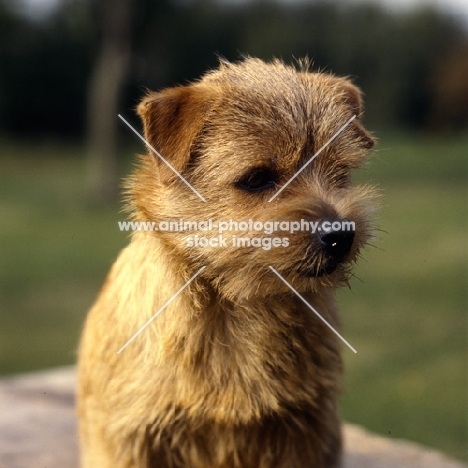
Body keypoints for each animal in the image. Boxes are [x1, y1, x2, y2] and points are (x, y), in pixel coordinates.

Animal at [77, 56, 376, 466]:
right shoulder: (132, 433)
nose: (340, 234)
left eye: (341, 173)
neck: (240, 309)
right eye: (257, 178)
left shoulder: (305, 429)